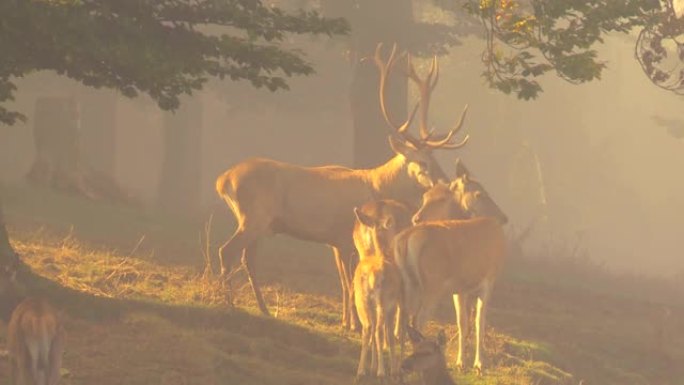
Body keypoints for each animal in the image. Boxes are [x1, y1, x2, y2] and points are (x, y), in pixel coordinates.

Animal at [352, 200, 412, 376]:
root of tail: (373, 276)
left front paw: (373, 366)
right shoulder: (393, 303)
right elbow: (390, 335)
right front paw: (392, 368)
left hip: (362, 300)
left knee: (367, 328)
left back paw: (362, 371)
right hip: (383, 301)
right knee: (379, 330)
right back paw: (381, 372)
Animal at [396, 170, 508, 372]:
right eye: (480, 194)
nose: (504, 217)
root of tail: (407, 238)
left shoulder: (460, 289)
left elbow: (463, 323)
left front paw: (461, 362)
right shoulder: (489, 280)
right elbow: (479, 322)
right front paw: (478, 364)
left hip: (406, 284)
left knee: (400, 319)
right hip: (432, 286)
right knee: (417, 320)